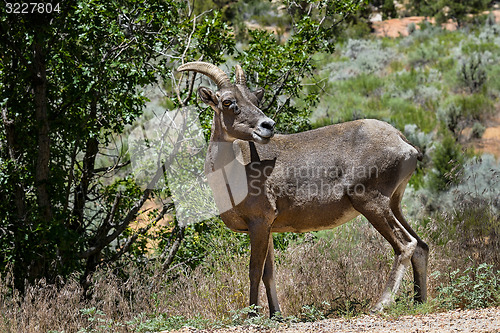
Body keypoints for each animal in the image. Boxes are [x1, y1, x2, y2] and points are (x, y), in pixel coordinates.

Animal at [177, 61, 430, 314]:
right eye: (228, 102)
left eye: (254, 99)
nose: (267, 125)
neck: (233, 173)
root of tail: (404, 144)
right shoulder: (267, 228)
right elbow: (269, 273)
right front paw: (276, 315)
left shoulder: (259, 222)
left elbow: (254, 272)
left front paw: (252, 314)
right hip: (393, 205)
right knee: (421, 246)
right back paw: (419, 301)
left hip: (372, 204)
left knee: (406, 245)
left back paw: (381, 304)